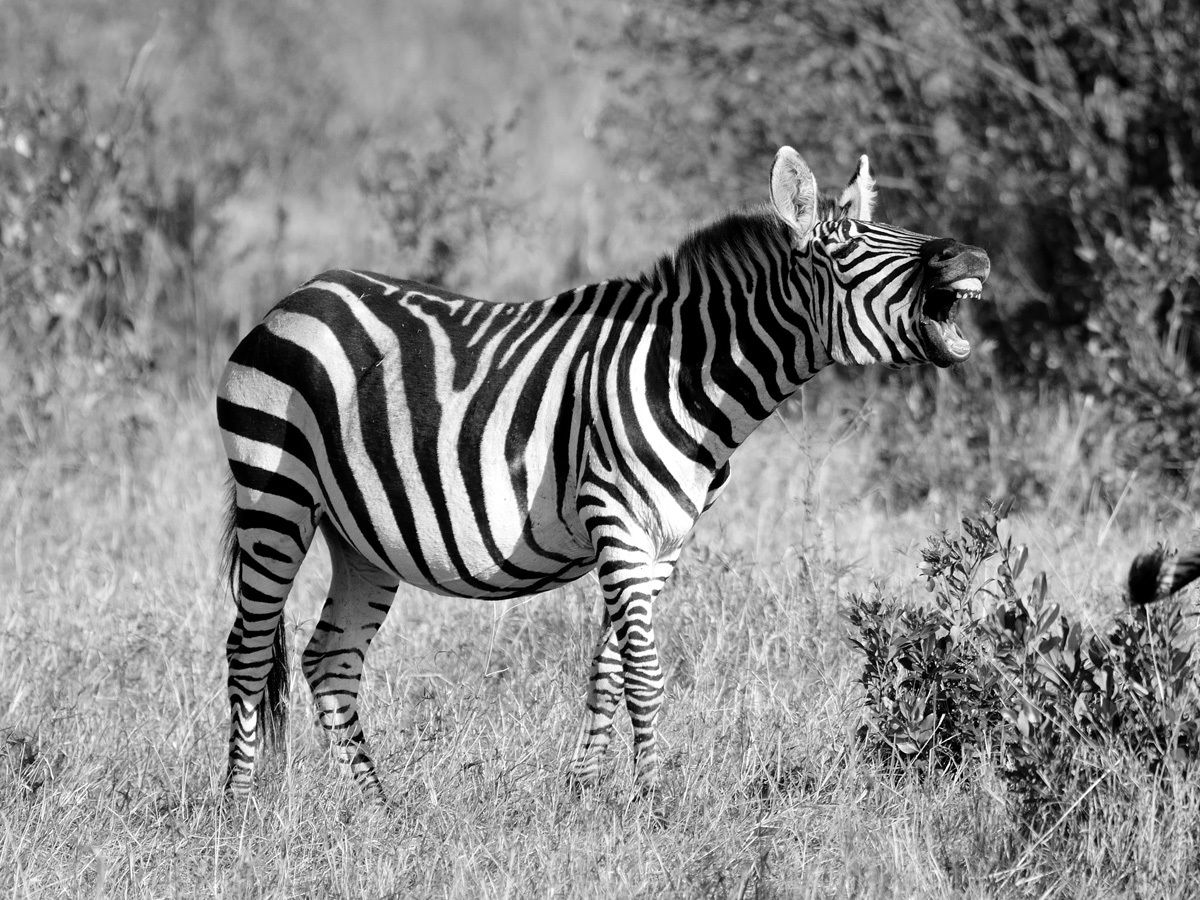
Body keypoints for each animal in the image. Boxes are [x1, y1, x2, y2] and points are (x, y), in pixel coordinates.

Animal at [217, 146, 991, 804]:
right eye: (847, 247)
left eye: (886, 226)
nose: (974, 253)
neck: (685, 377)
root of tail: (302, 293)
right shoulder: (616, 518)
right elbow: (645, 673)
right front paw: (654, 800)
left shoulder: (664, 542)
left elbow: (610, 670)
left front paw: (584, 791)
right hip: (275, 496)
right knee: (248, 649)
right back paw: (239, 808)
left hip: (361, 536)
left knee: (330, 659)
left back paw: (377, 810)